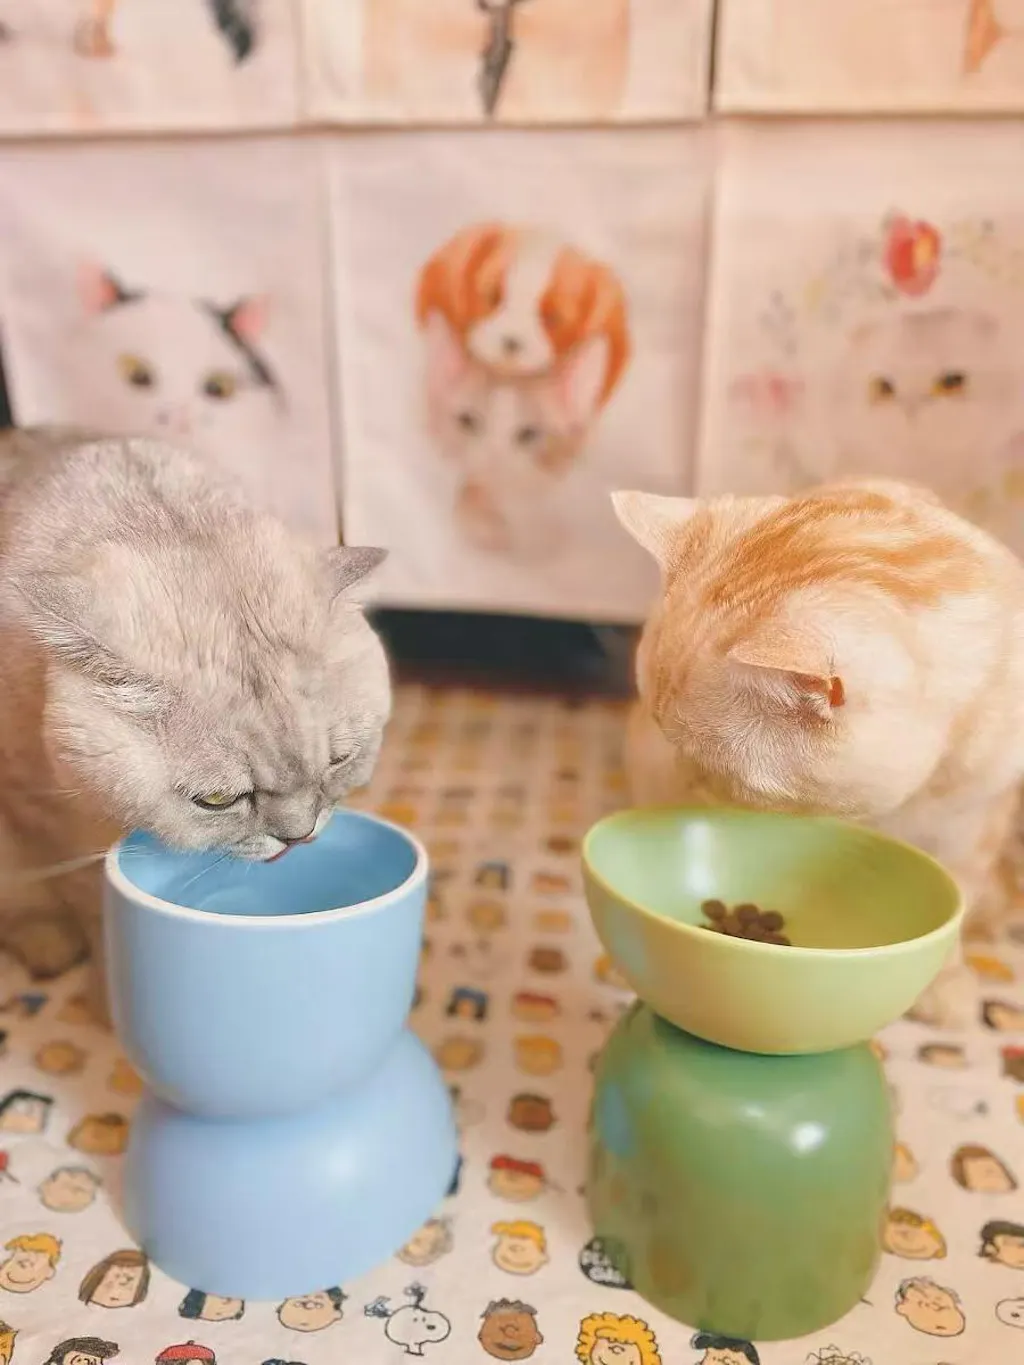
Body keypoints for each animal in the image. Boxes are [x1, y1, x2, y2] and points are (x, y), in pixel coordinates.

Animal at [0, 426, 389, 1017]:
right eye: (217, 801)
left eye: (339, 760)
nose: (298, 837)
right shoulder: (38, 817)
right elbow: (87, 902)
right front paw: (105, 1002)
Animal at [614, 477, 1024, 1027]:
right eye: (663, 735)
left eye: (709, 767)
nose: (685, 781)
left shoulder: (974, 821)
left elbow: (961, 898)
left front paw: (946, 982)